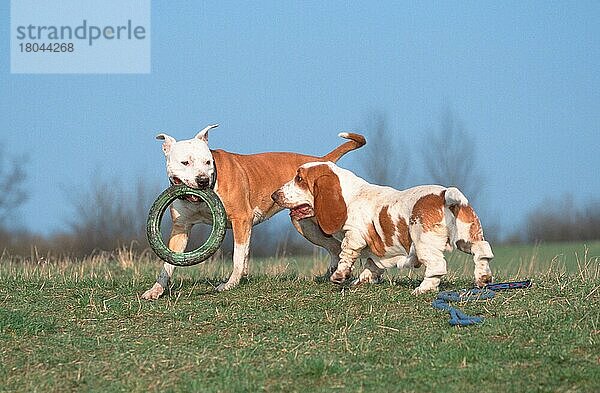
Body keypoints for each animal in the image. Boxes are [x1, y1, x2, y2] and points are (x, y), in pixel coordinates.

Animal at [142, 126, 366, 300]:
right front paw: (156, 290)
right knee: (334, 246)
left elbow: (238, 256)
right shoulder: (181, 228)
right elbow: (168, 262)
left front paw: (230, 284)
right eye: (185, 163)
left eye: (207, 162)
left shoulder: (241, 220)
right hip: (305, 225)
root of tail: (322, 160)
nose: (203, 180)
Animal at [270, 161, 492, 292]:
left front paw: (339, 276)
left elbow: (346, 255)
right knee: (482, 252)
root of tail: (445, 196)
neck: (349, 195)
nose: (274, 195)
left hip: (423, 243)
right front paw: (362, 280)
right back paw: (483, 278)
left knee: (437, 266)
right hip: (467, 237)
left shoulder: (354, 235)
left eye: (299, 179)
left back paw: (423, 289)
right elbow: (371, 264)